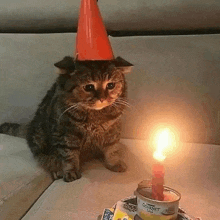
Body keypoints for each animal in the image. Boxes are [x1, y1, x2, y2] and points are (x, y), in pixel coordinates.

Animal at [0, 55, 132, 181]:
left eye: (111, 85)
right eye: (89, 87)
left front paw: (114, 163)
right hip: (40, 140)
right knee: (45, 158)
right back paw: (56, 169)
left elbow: (112, 149)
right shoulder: (66, 134)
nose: (102, 98)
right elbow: (69, 155)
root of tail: (29, 126)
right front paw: (70, 171)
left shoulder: (113, 130)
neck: (96, 115)